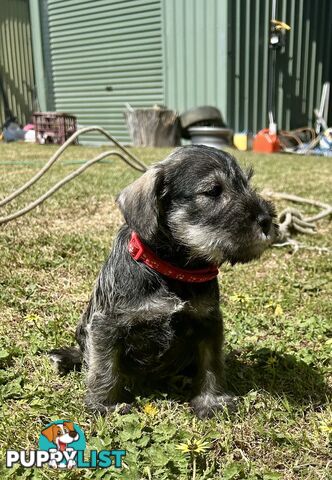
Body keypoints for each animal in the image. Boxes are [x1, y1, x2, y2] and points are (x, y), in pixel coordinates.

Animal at [50, 144, 276, 418]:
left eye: (246, 184)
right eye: (213, 190)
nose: (267, 220)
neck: (173, 270)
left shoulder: (209, 322)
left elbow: (211, 364)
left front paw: (211, 401)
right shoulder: (107, 326)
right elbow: (104, 368)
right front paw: (104, 405)